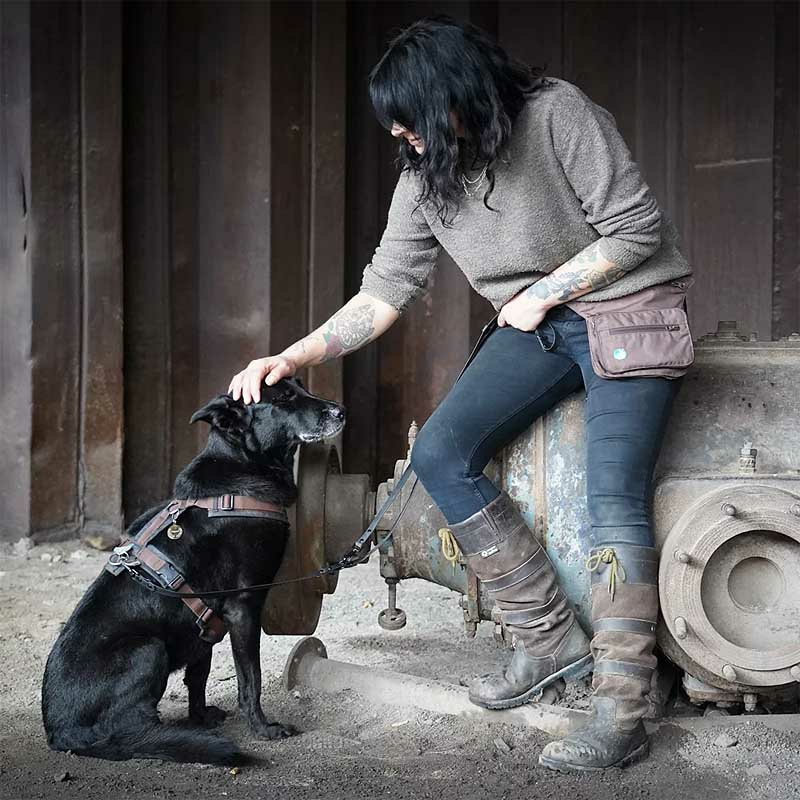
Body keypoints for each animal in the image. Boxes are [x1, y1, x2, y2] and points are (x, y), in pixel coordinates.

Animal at [43, 378, 344, 764]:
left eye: (301, 387)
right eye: (284, 398)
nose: (341, 411)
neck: (240, 471)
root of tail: (60, 732)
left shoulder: (208, 625)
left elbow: (198, 676)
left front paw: (200, 717)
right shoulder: (243, 608)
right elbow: (251, 678)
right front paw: (263, 729)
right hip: (147, 649)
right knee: (129, 728)